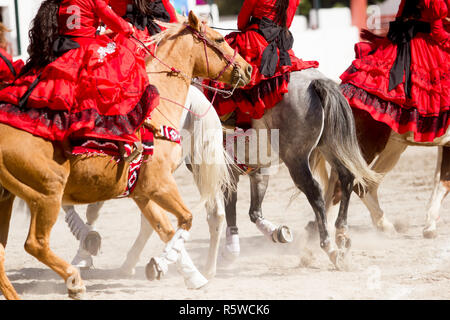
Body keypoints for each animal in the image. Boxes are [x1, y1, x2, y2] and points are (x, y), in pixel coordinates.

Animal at [0, 10, 253, 300]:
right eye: (220, 39)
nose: (248, 69)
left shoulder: (144, 189)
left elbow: (165, 227)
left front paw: (188, 275)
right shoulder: (158, 185)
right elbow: (183, 220)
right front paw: (167, 266)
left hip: (13, 199)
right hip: (47, 193)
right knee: (35, 243)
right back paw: (76, 279)